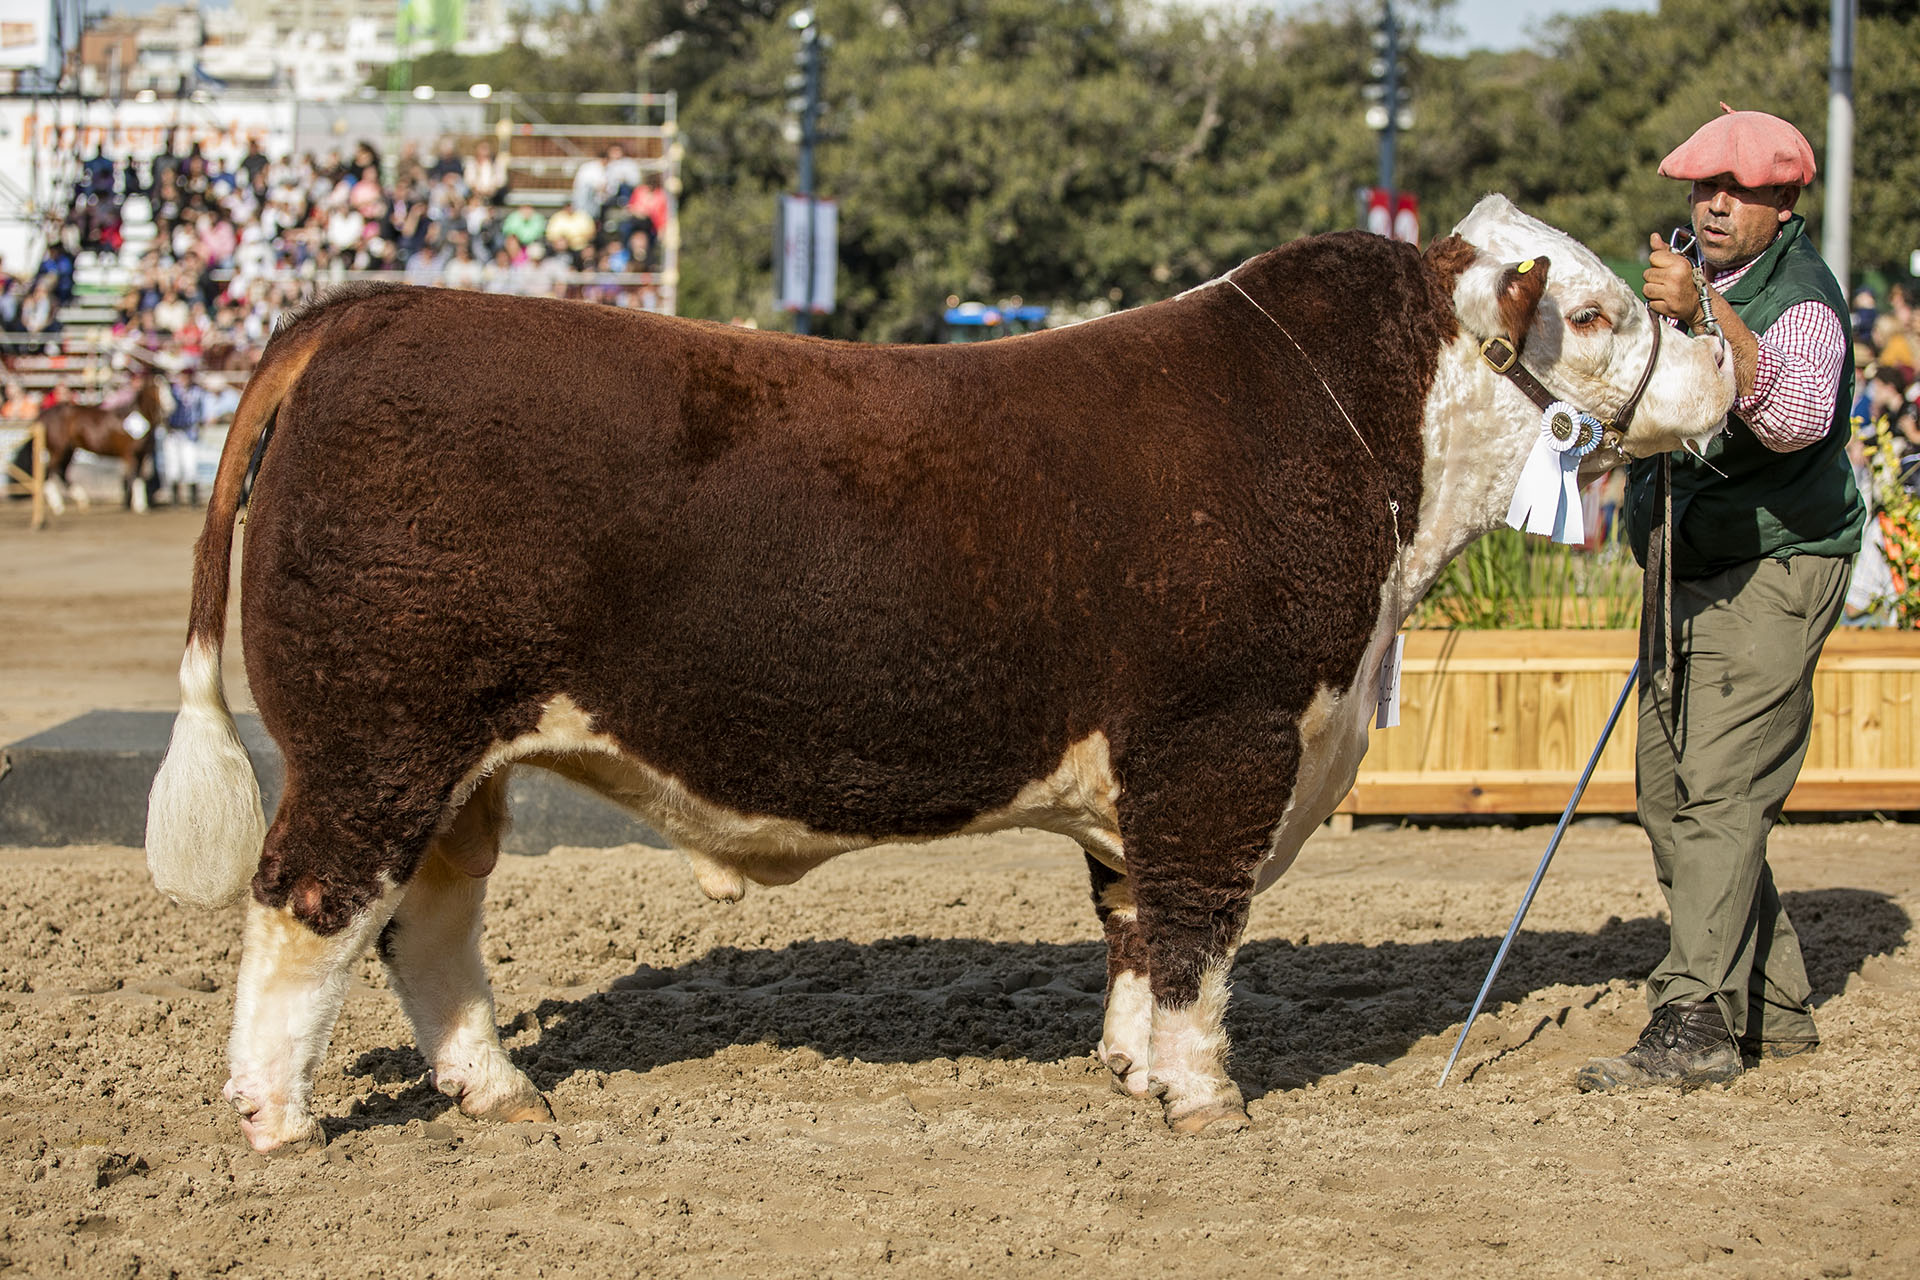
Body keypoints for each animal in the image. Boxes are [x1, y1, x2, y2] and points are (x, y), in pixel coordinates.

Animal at [10, 372, 174, 514]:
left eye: (169, 386)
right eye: (157, 387)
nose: (171, 406)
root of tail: (42, 416)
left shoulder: (143, 455)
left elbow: (139, 478)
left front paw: (139, 504)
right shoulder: (130, 455)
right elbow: (133, 477)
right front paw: (138, 506)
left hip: (69, 450)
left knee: (61, 473)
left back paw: (81, 500)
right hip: (58, 450)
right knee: (50, 473)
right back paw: (58, 505)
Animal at [149, 197, 1743, 1151]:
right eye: (1600, 315)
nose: (1726, 368)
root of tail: (371, 310)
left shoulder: (1150, 772)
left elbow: (1133, 923)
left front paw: (1129, 1070)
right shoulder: (1220, 741)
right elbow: (1199, 929)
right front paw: (1206, 1095)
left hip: (457, 756)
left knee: (428, 923)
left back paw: (496, 1089)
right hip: (377, 735)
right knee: (308, 906)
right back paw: (279, 1122)